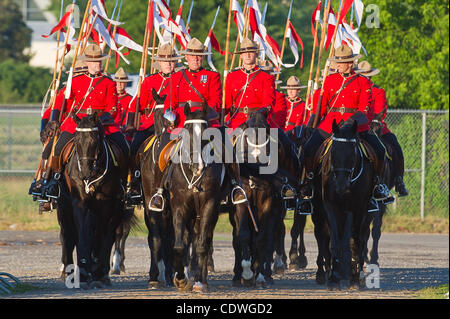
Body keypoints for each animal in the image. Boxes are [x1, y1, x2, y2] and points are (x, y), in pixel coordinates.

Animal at [62, 114, 128, 288]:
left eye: (94, 140)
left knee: (110, 235)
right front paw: (84, 271)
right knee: (68, 233)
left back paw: (103, 271)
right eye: (77, 140)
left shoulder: (105, 204)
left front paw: (96, 271)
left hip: (117, 209)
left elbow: (100, 235)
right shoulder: (78, 201)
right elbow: (82, 233)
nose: (84, 172)